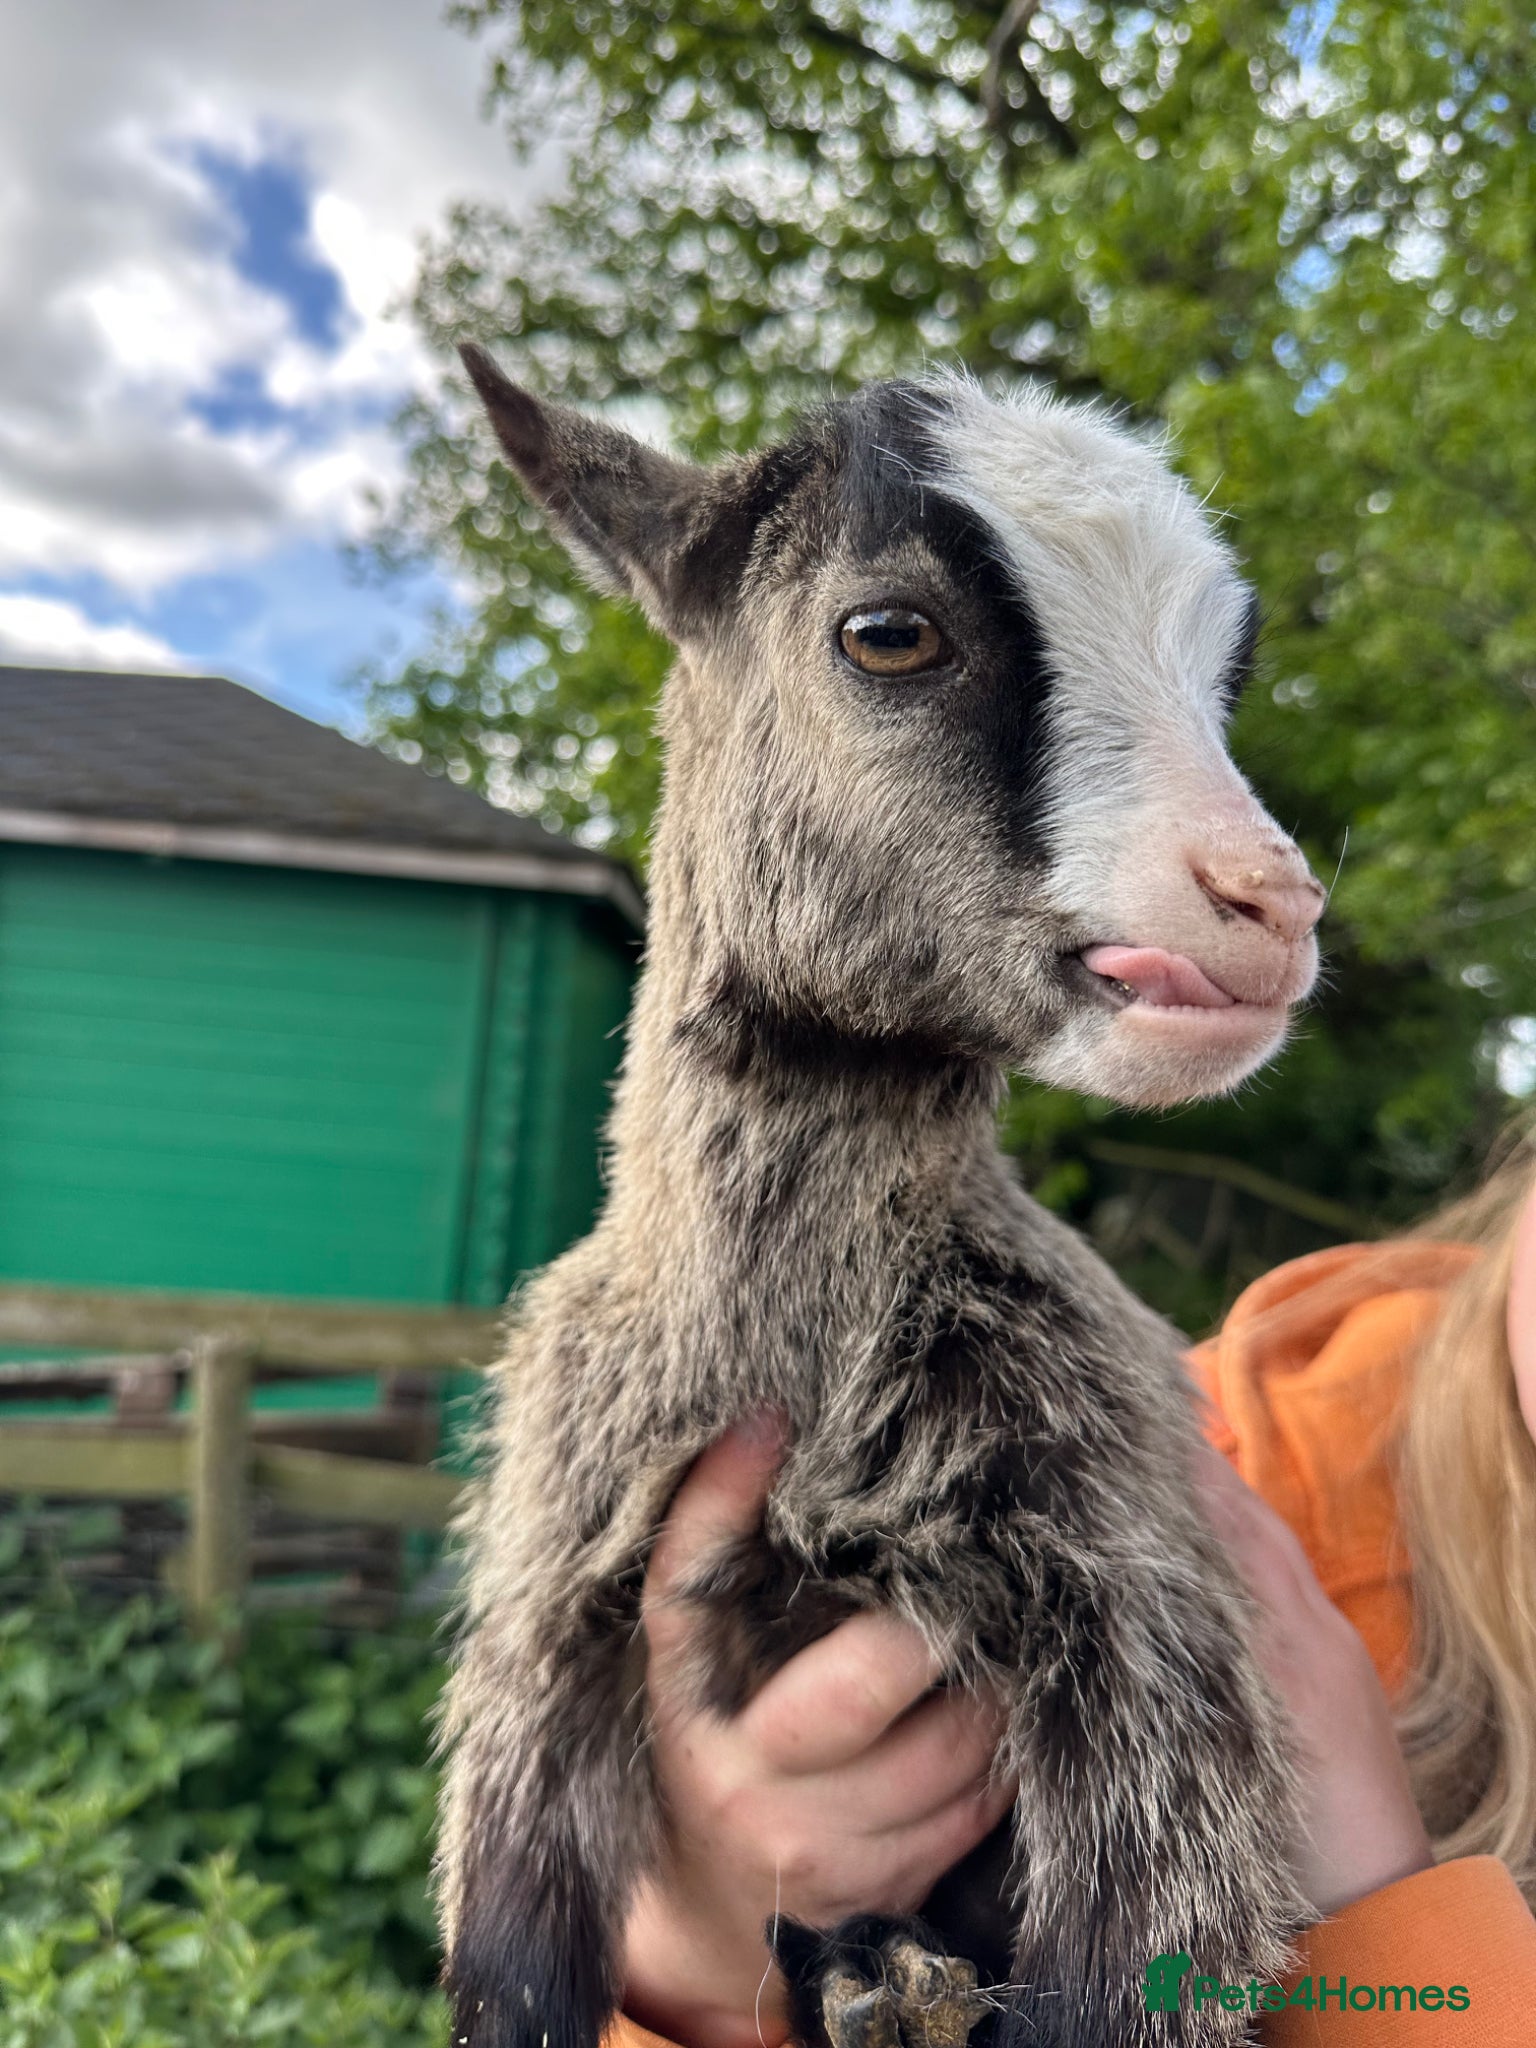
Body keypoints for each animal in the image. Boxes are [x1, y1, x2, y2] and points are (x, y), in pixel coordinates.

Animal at [440, 348, 1324, 2048]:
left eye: (1229, 676)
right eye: (890, 632)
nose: (1270, 907)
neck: (789, 1357)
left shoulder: (1151, 1673)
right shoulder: (539, 1639)